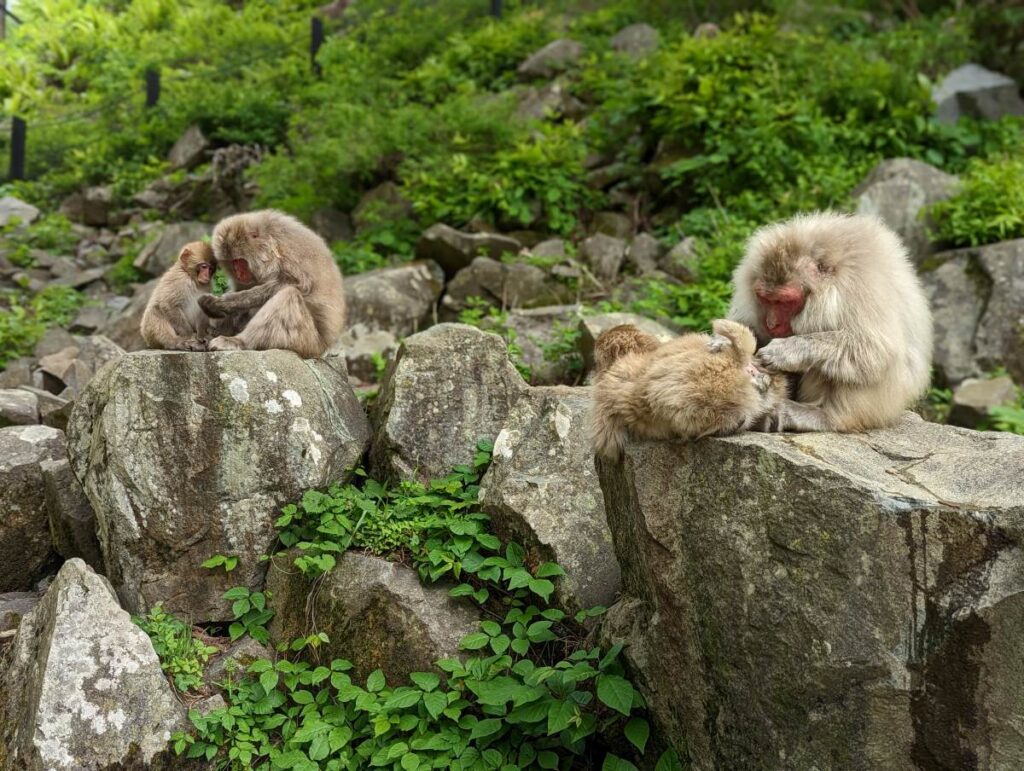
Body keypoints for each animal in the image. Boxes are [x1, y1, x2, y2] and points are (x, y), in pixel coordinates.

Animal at [198, 209, 346, 359]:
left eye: (240, 261)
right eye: (232, 262)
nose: (238, 274)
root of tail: (325, 347)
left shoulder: (290, 253)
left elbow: (299, 285)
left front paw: (227, 301)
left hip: (309, 341)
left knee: (289, 295)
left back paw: (240, 341)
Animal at [728, 211, 933, 433]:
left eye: (784, 302)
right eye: (766, 299)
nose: (772, 323)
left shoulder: (857, 286)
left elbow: (874, 348)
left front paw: (787, 351)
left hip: (885, 403)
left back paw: (824, 416)